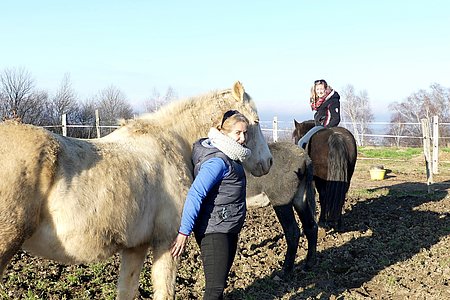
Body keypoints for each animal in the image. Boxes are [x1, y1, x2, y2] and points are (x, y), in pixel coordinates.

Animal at [0, 81, 272, 300]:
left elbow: (127, 291)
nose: (268, 162)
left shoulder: (136, 246)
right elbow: (165, 292)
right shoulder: (167, 241)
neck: (174, 143)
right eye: (256, 122)